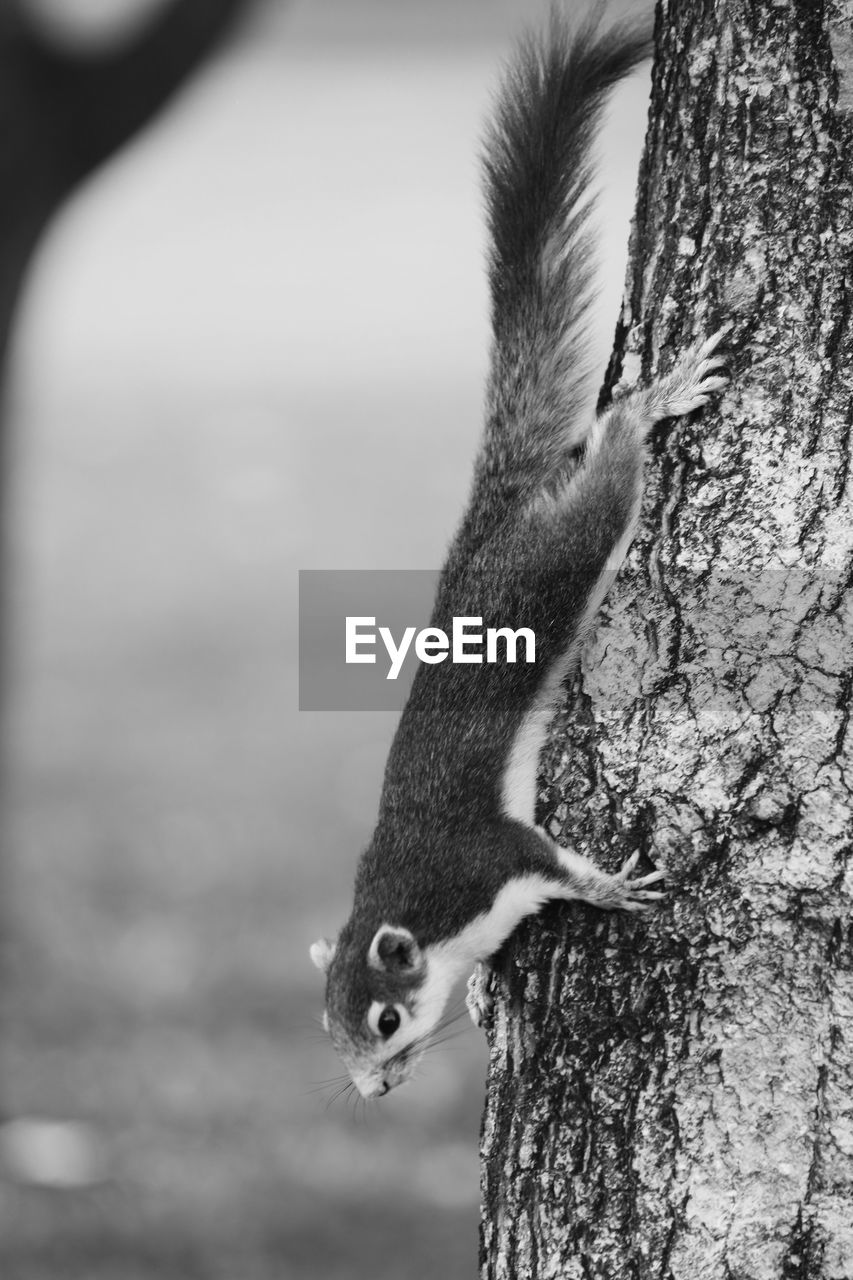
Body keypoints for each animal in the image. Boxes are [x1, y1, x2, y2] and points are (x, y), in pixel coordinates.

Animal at [308, 5, 727, 1095]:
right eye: (326, 1028)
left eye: (384, 1018)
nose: (372, 1090)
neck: (409, 903)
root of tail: (491, 521)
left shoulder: (490, 859)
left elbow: (560, 868)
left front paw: (617, 887)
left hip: (557, 555)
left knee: (608, 478)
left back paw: (647, 408)